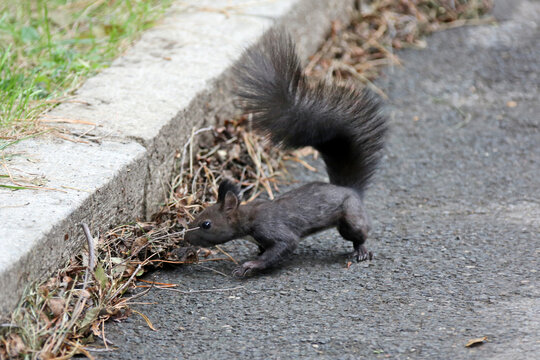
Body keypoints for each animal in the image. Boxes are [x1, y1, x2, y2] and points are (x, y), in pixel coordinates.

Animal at [186, 29, 388, 278]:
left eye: (206, 224)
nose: (185, 237)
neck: (247, 217)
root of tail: (349, 189)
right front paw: (254, 257)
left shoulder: (273, 230)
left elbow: (284, 246)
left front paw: (250, 266)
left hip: (349, 218)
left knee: (359, 233)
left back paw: (361, 250)